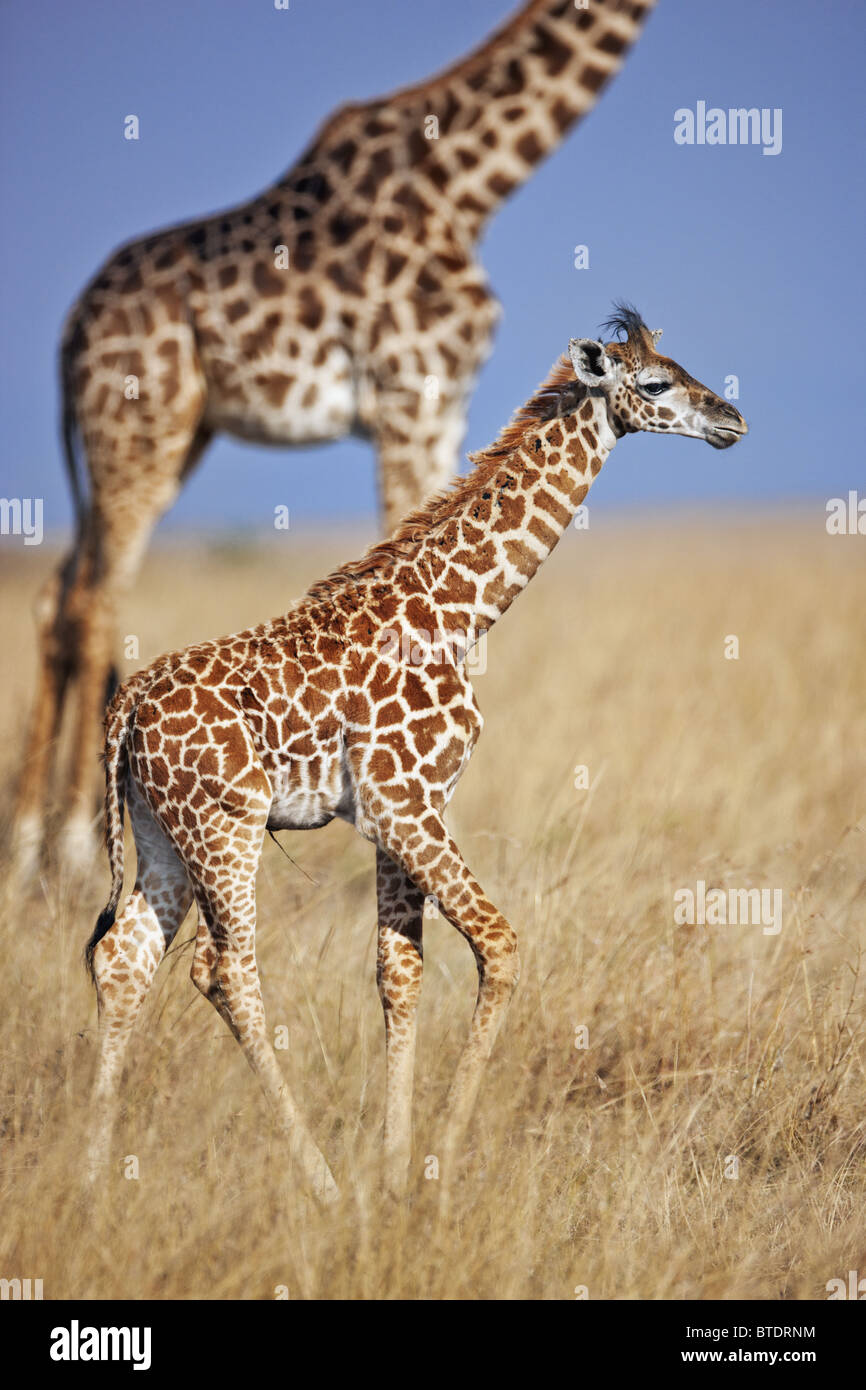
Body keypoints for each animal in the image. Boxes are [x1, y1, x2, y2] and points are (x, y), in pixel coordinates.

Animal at [13, 0, 653, 872]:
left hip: (161, 436)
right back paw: (74, 847)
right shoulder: (410, 391)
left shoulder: (447, 404)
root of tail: (70, 331)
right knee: (94, 598)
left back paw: (28, 842)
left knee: (58, 596)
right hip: (137, 425)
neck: (470, 181)